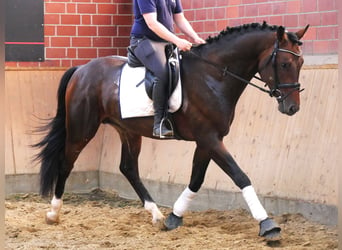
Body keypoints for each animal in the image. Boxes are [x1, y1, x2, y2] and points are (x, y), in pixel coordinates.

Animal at [33, 23, 308, 240]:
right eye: (284, 63)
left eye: (301, 62)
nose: (292, 107)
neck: (213, 76)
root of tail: (81, 69)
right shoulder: (209, 139)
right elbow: (240, 176)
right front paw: (267, 224)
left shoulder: (208, 140)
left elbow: (197, 179)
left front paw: (174, 216)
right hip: (82, 128)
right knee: (66, 162)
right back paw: (53, 213)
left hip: (128, 131)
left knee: (128, 168)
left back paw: (155, 214)